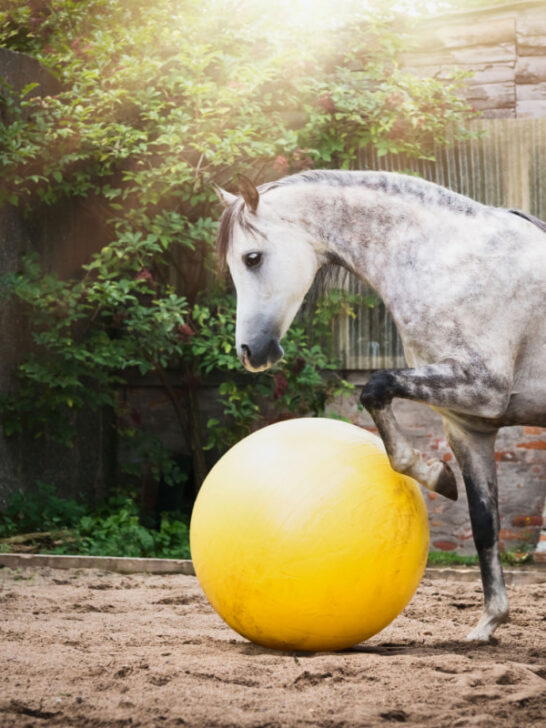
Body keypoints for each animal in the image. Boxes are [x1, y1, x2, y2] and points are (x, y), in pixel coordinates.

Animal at [214, 172, 544, 644]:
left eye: (252, 258)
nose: (250, 352)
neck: (447, 261)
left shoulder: (481, 387)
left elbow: (375, 387)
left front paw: (434, 474)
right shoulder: (469, 425)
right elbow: (484, 522)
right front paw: (489, 622)